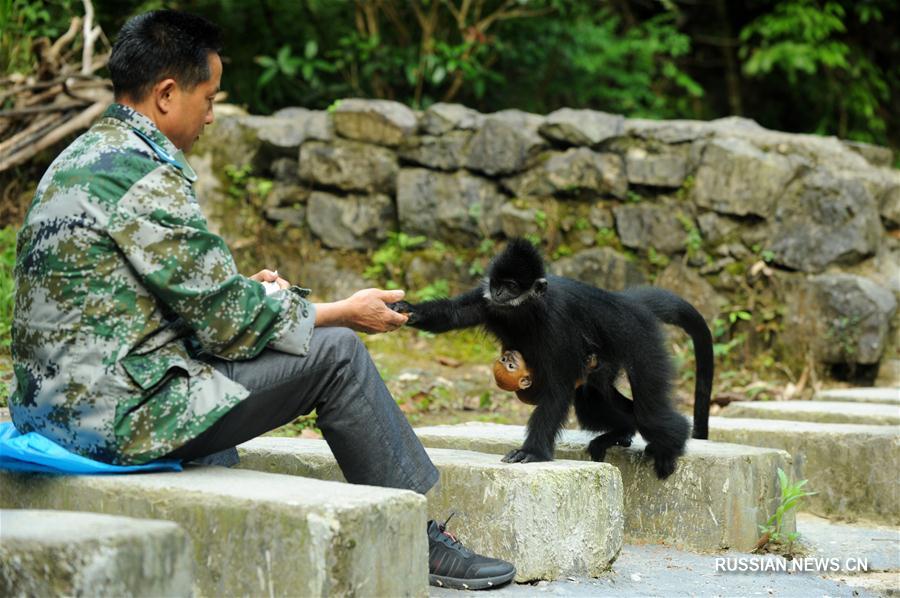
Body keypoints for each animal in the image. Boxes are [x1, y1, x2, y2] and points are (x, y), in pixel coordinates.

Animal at [390, 241, 712, 480]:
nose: (498, 291)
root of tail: (629, 304)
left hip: (641, 340)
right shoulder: (487, 301)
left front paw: (532, 453)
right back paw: (620, 433)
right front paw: (407, 310)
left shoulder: (556, 324)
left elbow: (558, 388)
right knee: (593, 402)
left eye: (511, 285)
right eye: (496, 283)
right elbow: (454, 314)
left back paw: (672, 445)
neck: (525, 312)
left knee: (649, 412)